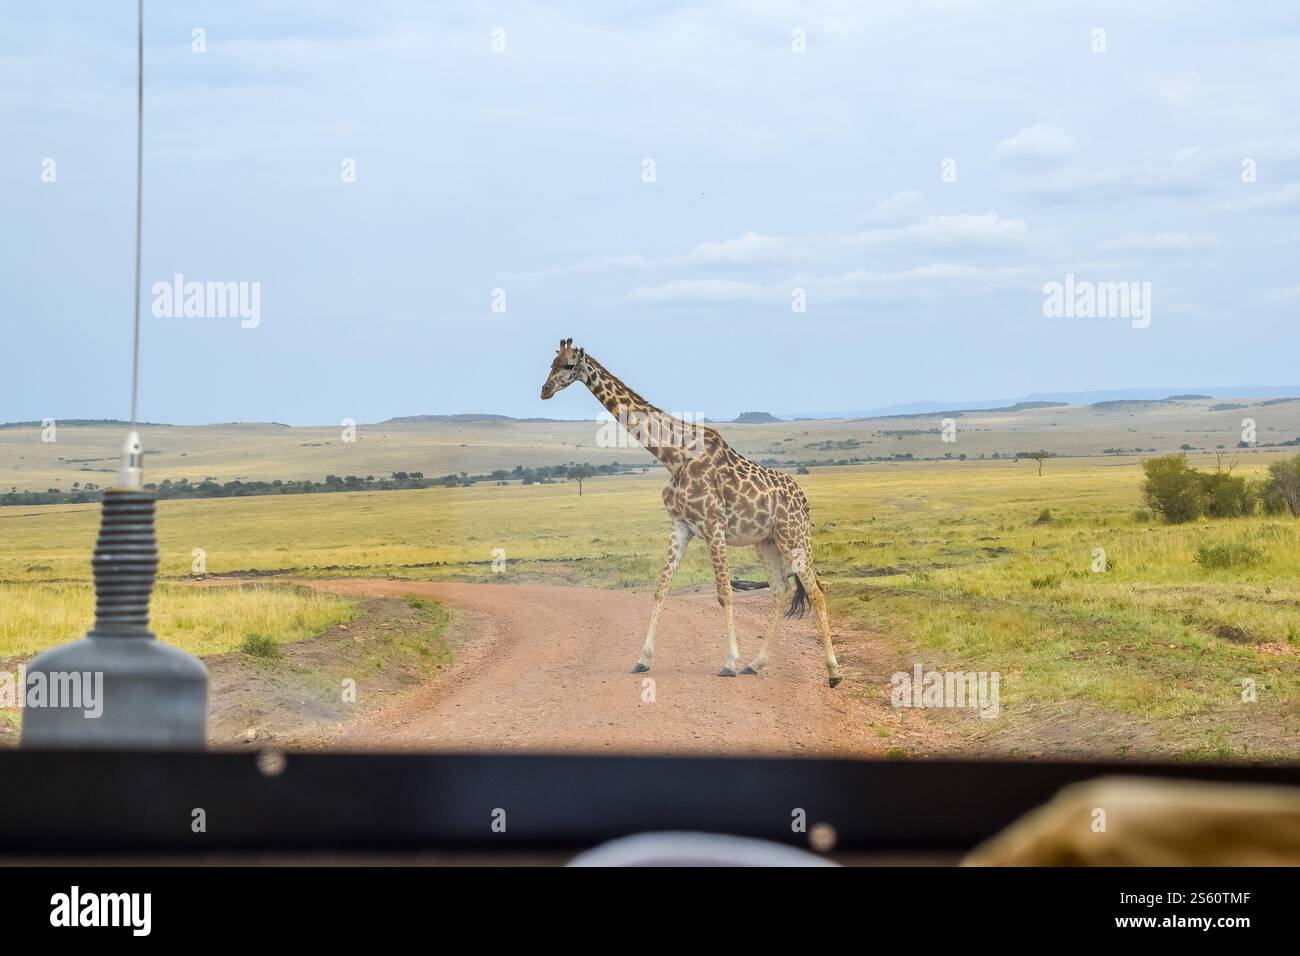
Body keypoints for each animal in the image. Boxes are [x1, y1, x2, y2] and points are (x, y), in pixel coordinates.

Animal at [540, 338, 842, 687]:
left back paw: (833, 672)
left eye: (567, 365)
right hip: (766, 542)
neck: (674, 455)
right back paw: (756, 663)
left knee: (817, 591)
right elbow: (660, 590)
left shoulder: (713, 526)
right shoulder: (681, 527)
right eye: (551, 363)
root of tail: (803, 499)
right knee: (782, 591)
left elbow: (725, 593)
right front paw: (643, 660)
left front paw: (729, 663)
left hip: (794, 537)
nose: (544, 390)